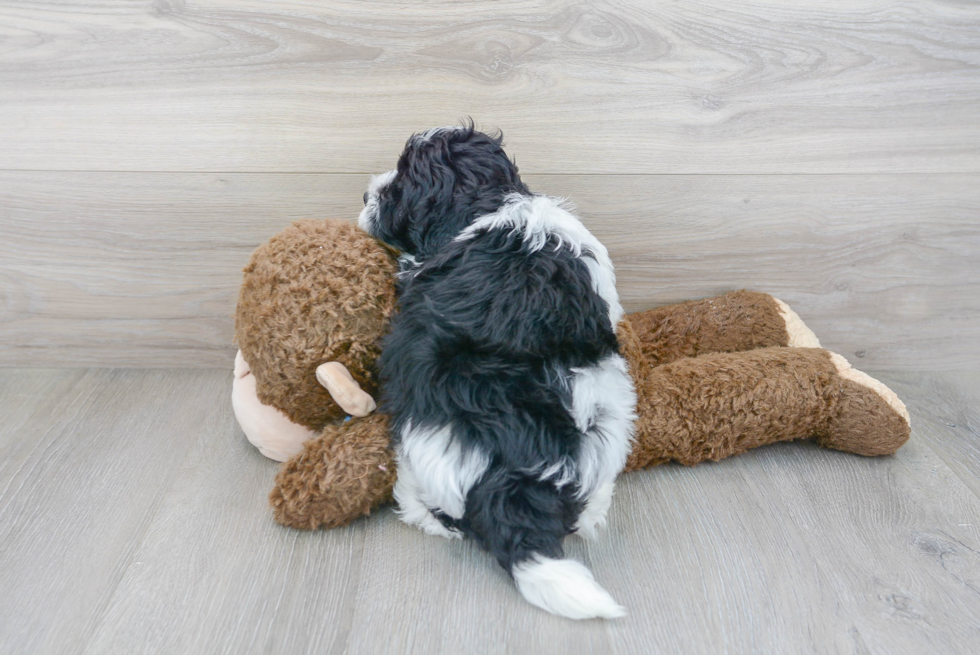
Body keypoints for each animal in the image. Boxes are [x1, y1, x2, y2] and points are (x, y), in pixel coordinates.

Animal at [360, 124, 636, 620]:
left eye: (398, 186)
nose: (365, 191)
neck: (491, 203)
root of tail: (516, 477)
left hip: (425, 446)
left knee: (431, 507)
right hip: (612, 414)